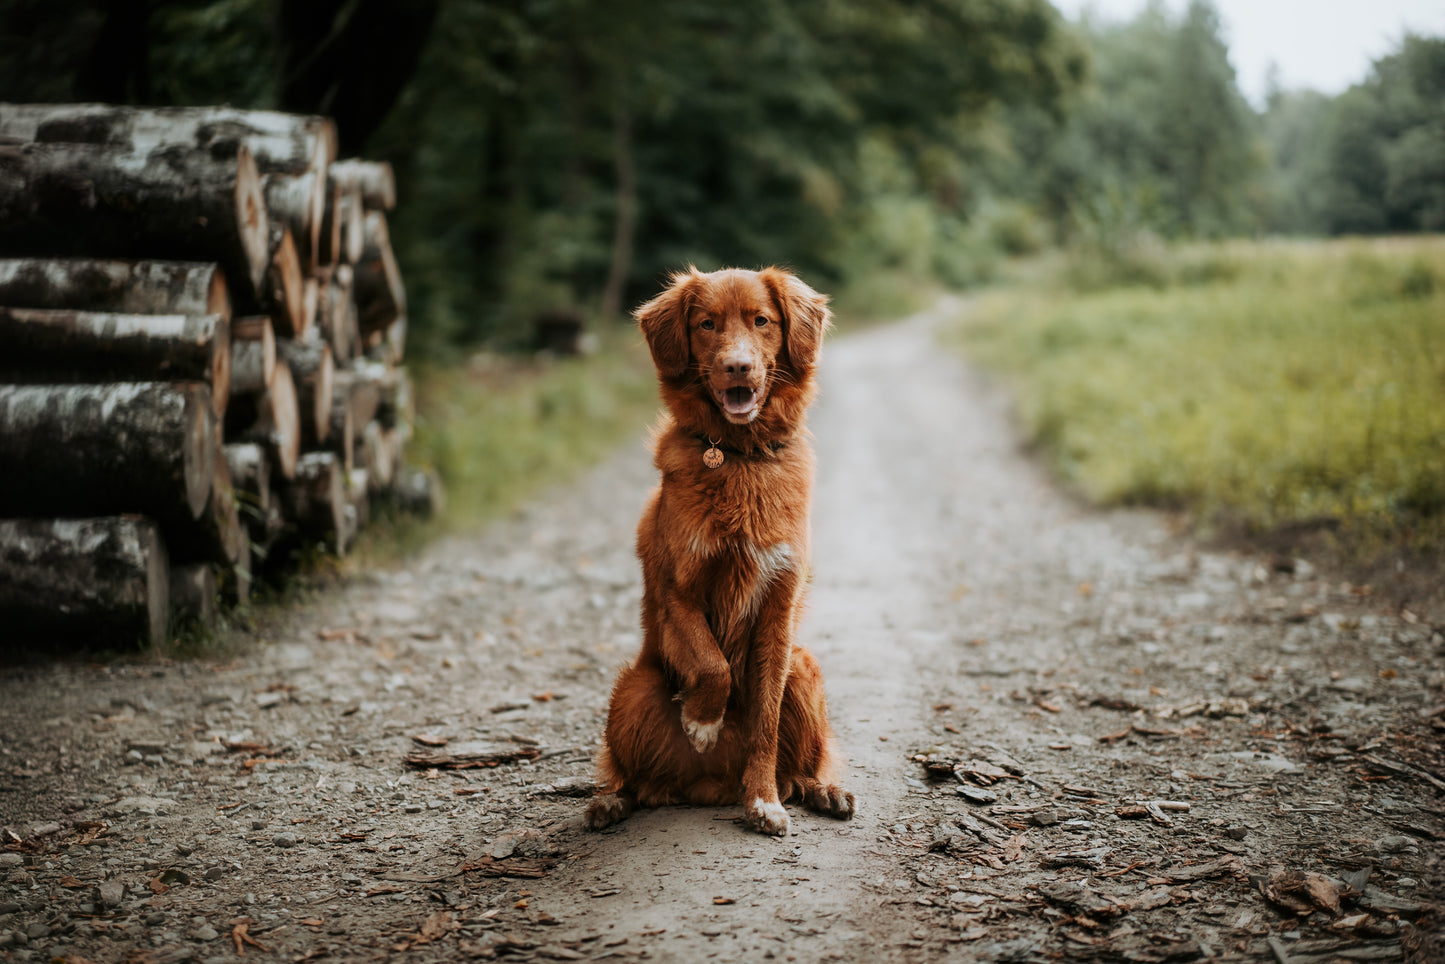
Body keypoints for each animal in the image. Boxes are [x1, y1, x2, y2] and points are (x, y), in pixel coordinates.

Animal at [580, 265, 849, 838]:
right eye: (706, 324)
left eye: (761, 321)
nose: (737, 366)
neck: (739, 456)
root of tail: (706, 786)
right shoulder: (677, 591)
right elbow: (712, 664)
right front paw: (703, 721)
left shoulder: (777, 607)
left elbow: (765, 720)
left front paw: (763, 799)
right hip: (634, 688)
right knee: (627, 774)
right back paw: (610, 802)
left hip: (804, 668)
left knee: (804, 763)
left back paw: (821, 790)